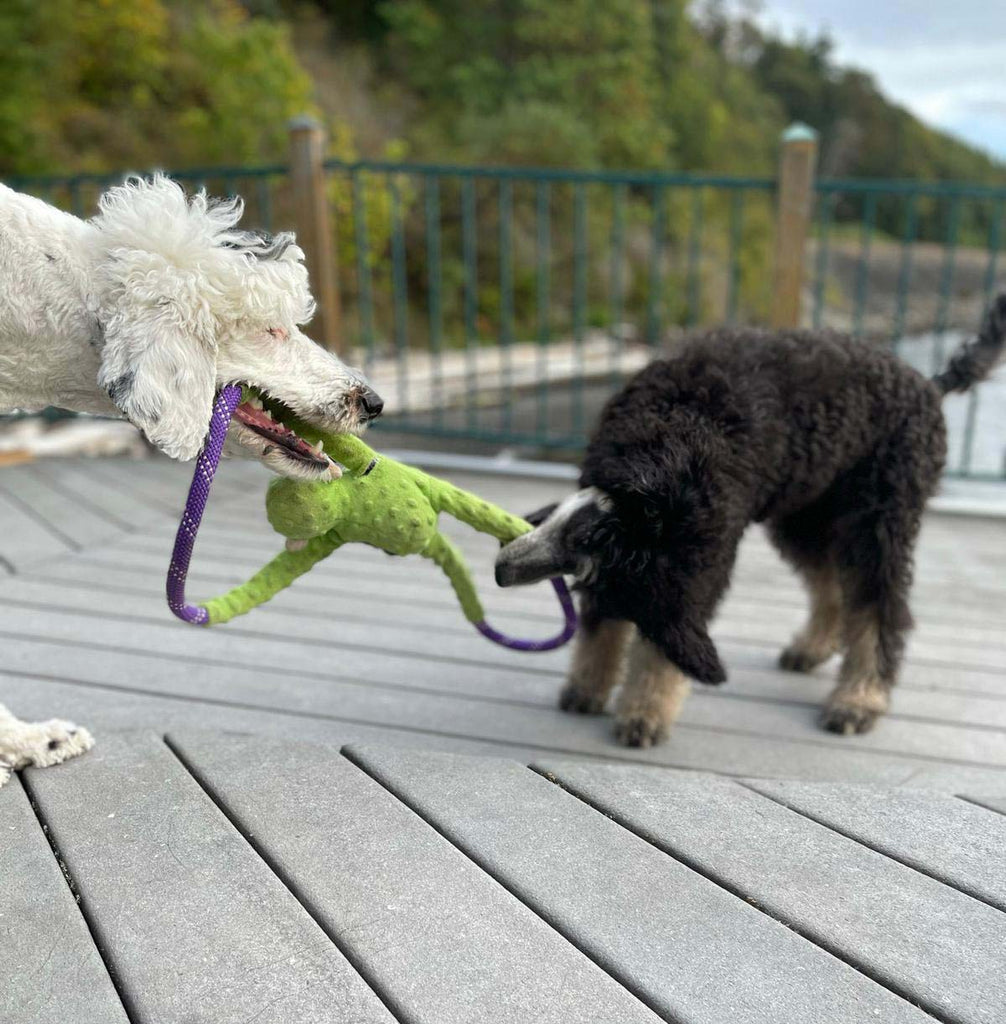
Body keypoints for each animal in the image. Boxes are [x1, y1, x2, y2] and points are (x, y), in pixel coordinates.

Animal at [495, 292, 1006, 749]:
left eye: (583, 553)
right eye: (585, 566)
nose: (502, 571)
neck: (686, 436)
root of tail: (930, 384)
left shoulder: (700, 571)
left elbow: (656, 650)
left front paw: (644, 711)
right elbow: (600, 629)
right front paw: (589, 685)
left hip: (879, 519)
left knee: (878, 607)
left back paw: (860, 697)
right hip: (807, 515)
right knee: (833, 587)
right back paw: (814, 648)